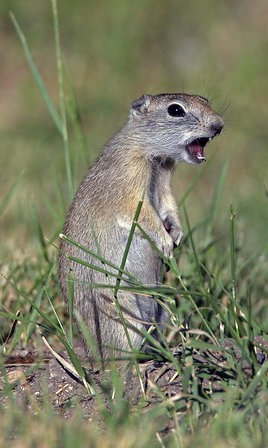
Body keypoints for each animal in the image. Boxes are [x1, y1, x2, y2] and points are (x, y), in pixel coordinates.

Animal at [59, 93, 224, 362]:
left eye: (205, 99)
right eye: (175, 110)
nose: (219, 125)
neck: (151, 153)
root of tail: (91, 354)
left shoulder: (165, 183)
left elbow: (169, 206)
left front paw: (176, 234)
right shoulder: (128, 182)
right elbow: (142, 214)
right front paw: (166, 243)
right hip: (122, 315)